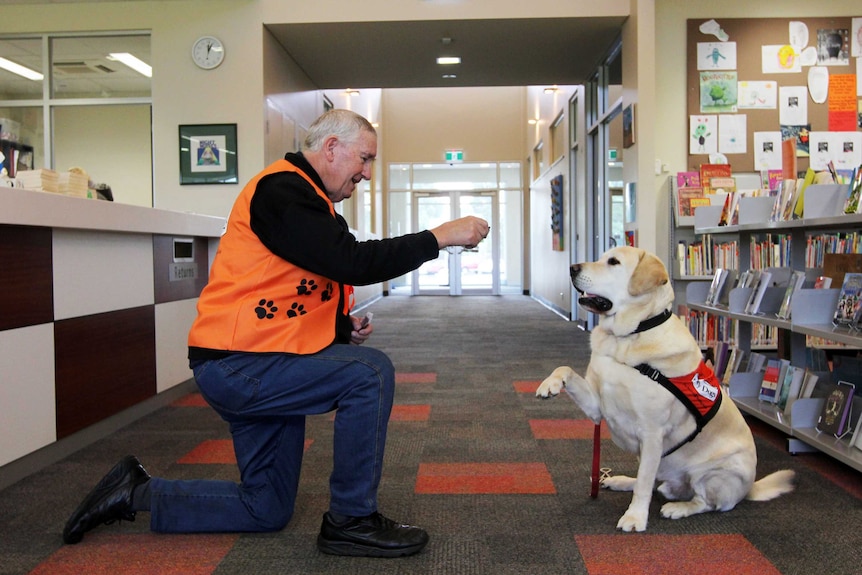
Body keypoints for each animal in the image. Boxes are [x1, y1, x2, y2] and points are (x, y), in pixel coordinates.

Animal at [540, 245, 796, 532]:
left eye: (613, 262)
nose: (572, 268)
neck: (628, 336)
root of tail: (749, 488)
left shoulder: (652, 433)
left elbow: (644, 484)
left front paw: (635, 517)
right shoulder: (598, 407)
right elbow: (565, 369)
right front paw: (549, 385)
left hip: (715, 473)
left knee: (705, 502)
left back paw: (678, 508)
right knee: (653, 480)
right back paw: (621, 481)